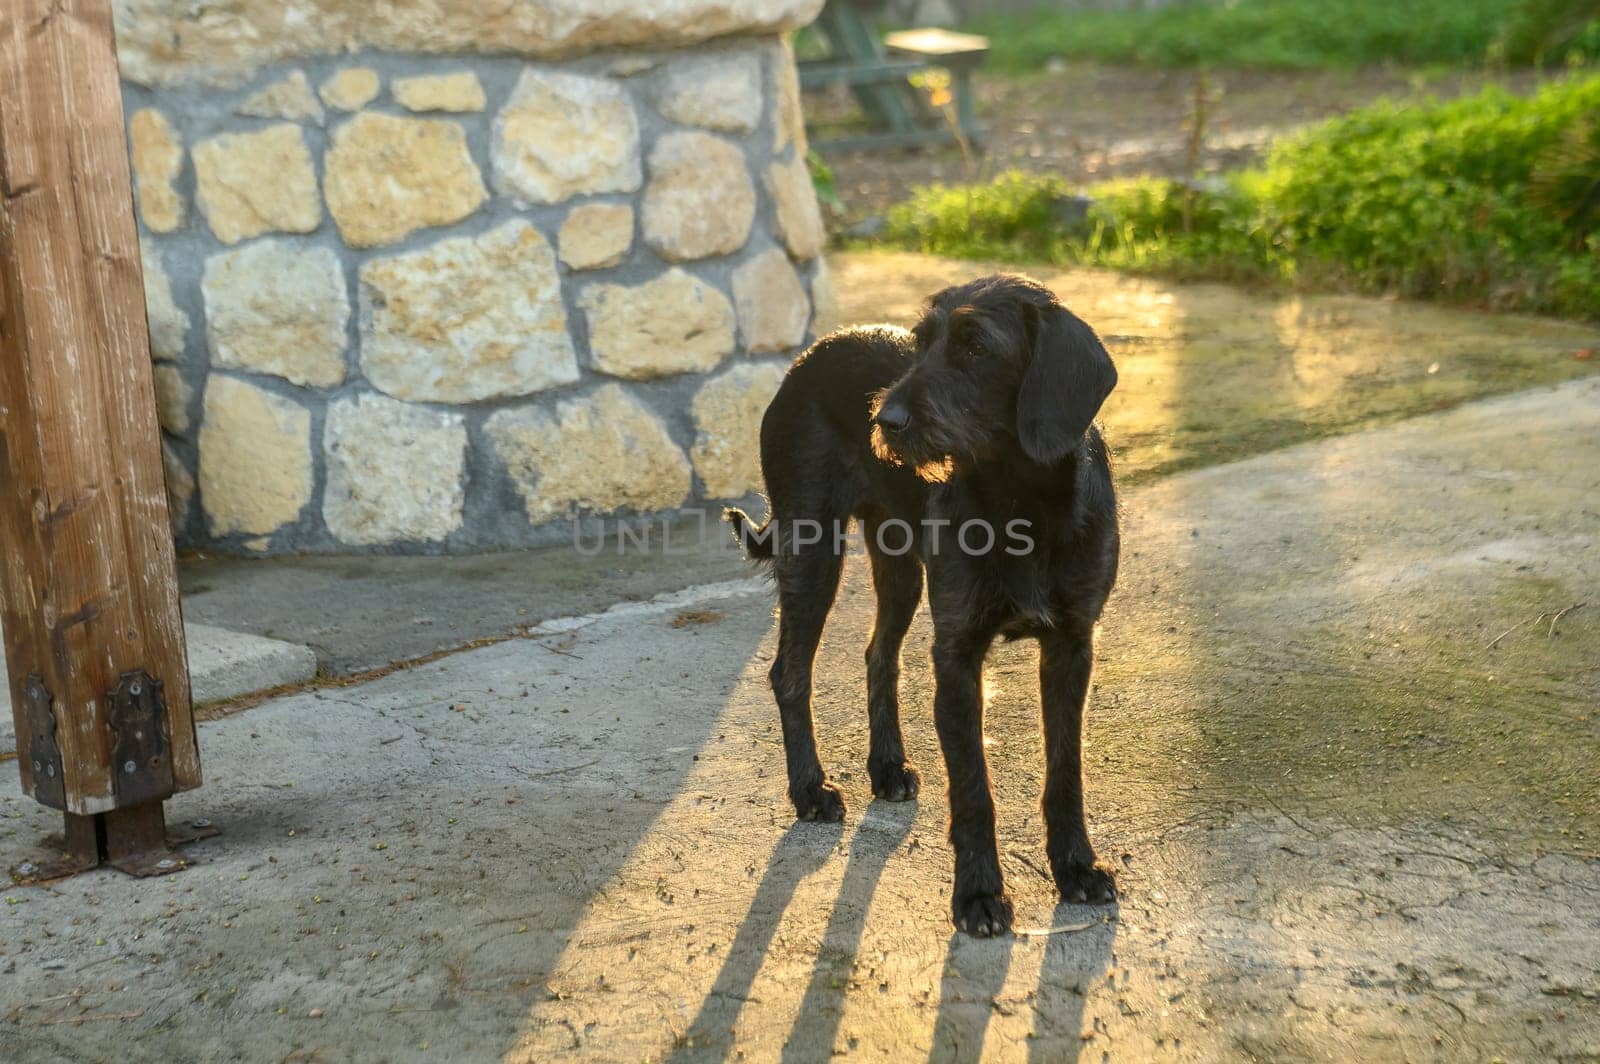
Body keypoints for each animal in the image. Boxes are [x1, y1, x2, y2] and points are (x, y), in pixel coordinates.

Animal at [729, 270, 1120, 934]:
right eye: (921, 342)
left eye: (975, 346)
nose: (883, 419)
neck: (1020, 502)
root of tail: (811, 353)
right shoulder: (957, 655)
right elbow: (972, 788)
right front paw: (979, 895)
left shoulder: (1072, 647)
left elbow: (1065, 770)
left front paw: (1076, 868)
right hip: (812, 553)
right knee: (790, 672)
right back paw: (809, 790)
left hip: (899, 568)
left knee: (878, 655)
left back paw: (885, 767)